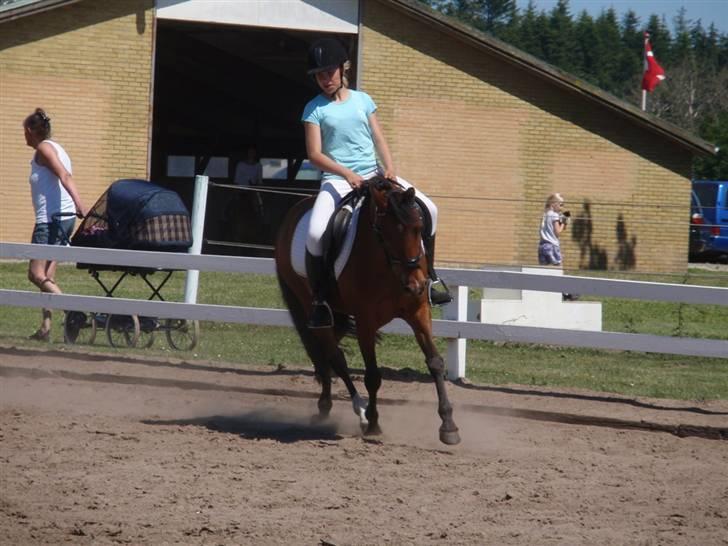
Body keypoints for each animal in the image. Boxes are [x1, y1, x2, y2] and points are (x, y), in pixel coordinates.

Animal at [276, 176, 458, 444]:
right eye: (384, 231)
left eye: (419, 229)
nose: (416, 285)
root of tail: (294, 212)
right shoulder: (365, 322)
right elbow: (372, 375)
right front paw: (373, 423)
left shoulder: (419, 312)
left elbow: (435, 362)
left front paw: (448, 426)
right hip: (310, 304)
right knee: (335, 356)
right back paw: (357, 411)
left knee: (326, 355)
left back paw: (325, 405)